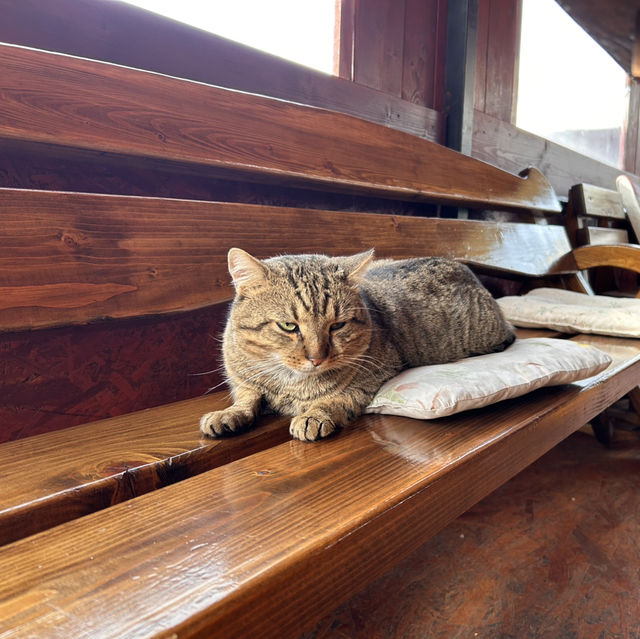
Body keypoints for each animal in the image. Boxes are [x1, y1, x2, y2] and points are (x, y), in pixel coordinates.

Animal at [200, 248, 516, 442]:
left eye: (337, 325)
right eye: (289, 326)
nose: (317, 357)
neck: (291, 384)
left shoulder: (373, 376)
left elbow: (337, 399)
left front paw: (313, 415)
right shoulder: (242, 378)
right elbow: (246, 397)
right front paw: (228, 414)